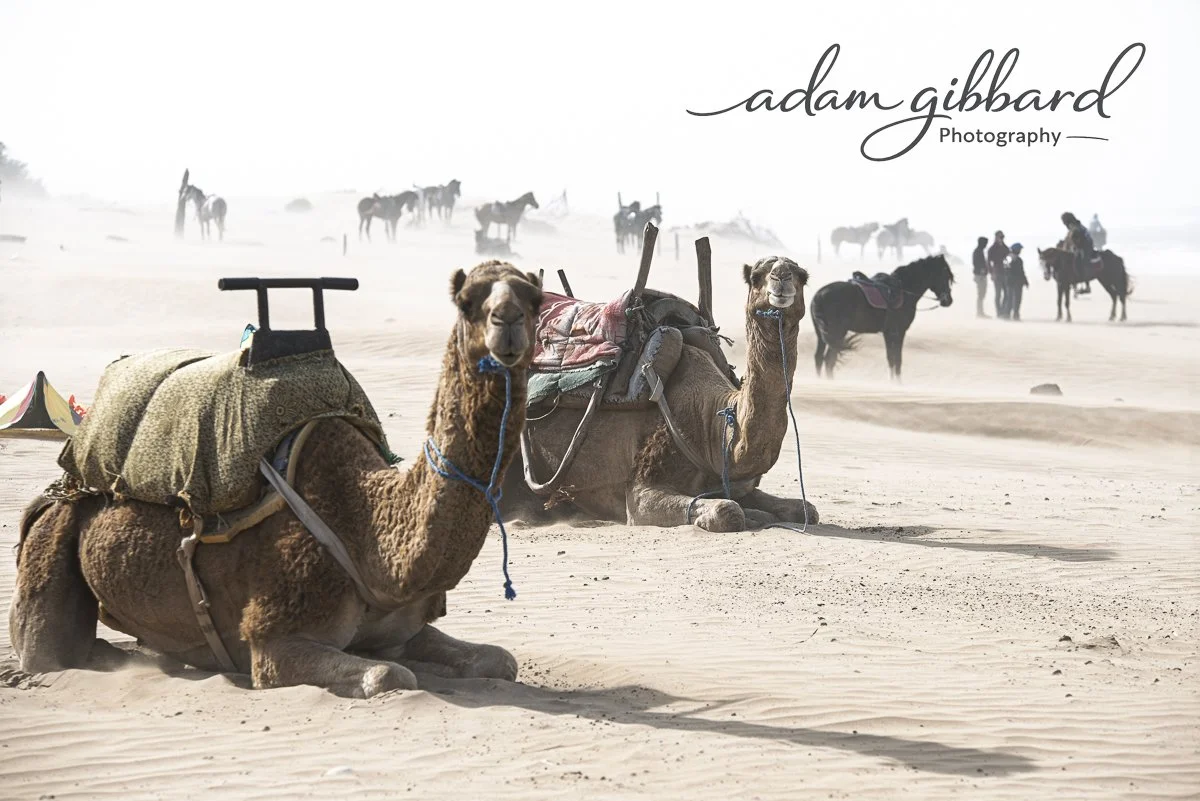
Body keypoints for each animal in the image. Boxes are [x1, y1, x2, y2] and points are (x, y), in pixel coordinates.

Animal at [10, 262, 545, 698]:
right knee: (47, 651)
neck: (369, 530)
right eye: (467, 300)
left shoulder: (404, 630)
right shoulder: (272, 642)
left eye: (534, 298)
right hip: (51, 544)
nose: (507, 322)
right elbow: (388, 676)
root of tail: (63, 485)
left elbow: (499, 661)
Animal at [504, 256, 818, 533]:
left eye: (802, 276)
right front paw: (751, 515)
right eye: (755, 276)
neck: (713, 425)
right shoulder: (641, 493)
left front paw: (763, 513)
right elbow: (727, 510)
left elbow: (806, 509)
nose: (781, 278)